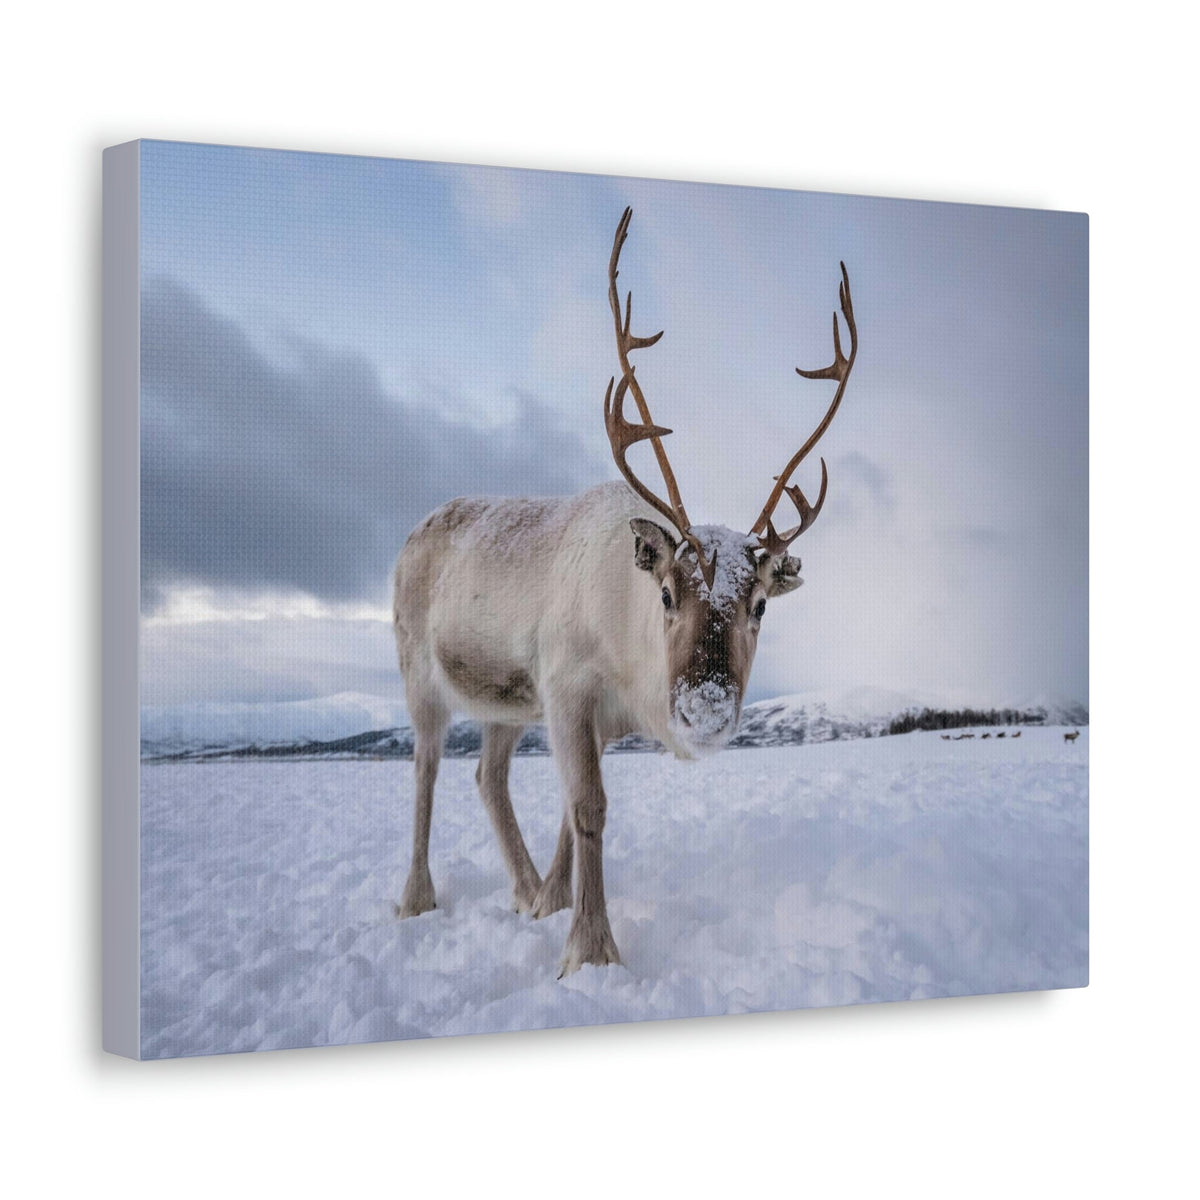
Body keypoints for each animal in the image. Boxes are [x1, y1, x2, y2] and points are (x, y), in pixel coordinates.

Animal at [390, 208, 857, 975]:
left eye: (760, 604)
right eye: (666, 593)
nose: (705, 709)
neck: (629, 660)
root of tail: (414, 531)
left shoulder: (586, 715)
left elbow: (568, 812)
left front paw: (552, 904)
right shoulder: (566, 686)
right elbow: (589, 808)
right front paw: (590, 949)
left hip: (505, 703)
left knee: (487, 775)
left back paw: (523, 890)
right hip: (419, 674)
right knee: (426, 769)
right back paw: (416, 898)